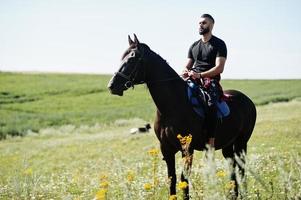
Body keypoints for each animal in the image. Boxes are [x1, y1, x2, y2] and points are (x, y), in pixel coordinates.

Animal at [108, 34, 255, 198]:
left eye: (132, 58)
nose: (112, 86)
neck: (173, 105)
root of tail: (247, 100)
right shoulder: (166, 149)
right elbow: (171, 179)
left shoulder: (187, 149)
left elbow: (184, 179)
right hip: (228, 145)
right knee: (232, 167)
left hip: (241, 142)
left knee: (241, 168)